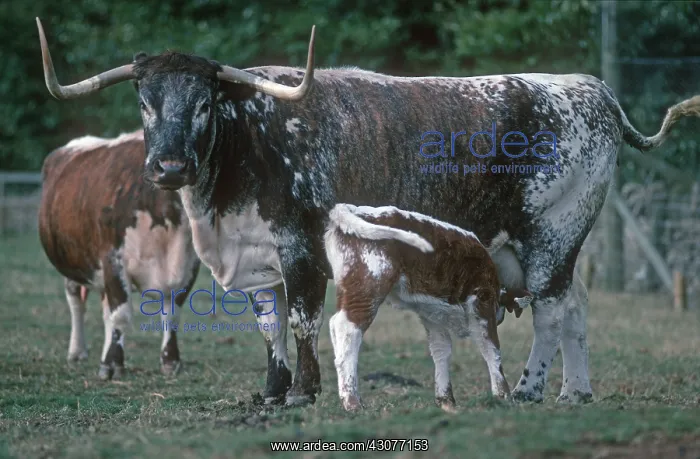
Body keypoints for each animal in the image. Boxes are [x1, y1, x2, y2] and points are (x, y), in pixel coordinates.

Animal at [38, 129, 201, 380]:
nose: (172, 170)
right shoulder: (113, 260)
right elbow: (121, 314)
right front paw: (112, 364)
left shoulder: (189, 266)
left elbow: (172, 315)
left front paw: (170, 361)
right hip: (74, 261)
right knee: (76, 302)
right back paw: (77, 351)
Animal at [324, 203, 533, 411]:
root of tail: (353, 209)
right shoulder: (482, 301)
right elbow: (491, 347)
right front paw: (503, 396)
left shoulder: (432, 314)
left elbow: (441, 349)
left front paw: (446, 399)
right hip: (368, 288)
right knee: (348, 329)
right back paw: (352, 402)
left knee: (335, 325)